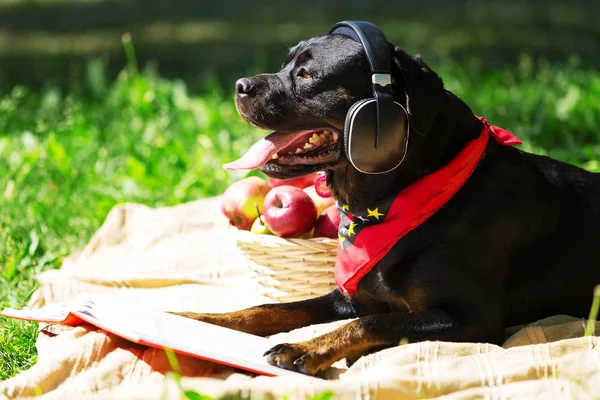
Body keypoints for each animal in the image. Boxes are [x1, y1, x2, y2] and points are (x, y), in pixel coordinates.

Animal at [176, 30, 600, 376]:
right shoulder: (351, 297)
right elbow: (271, 309)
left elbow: (372, 324)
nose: (240, 85)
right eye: (285, 65)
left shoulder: (472, 319)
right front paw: (197, 317)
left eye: (308, 75)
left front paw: (306, 348)